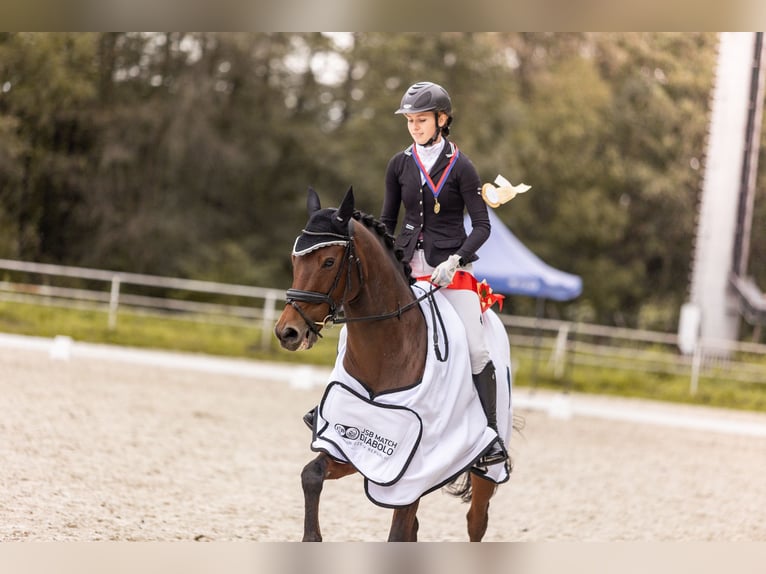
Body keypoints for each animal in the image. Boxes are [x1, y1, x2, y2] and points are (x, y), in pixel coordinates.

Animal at [272, 187, 512, 544]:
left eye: (329, 261)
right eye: (294, 260)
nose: (287, 332)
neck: (385, 353)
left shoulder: (412, 472)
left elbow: (398, 532)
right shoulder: (352, 446)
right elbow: (310, 475)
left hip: (485, 470)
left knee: (476, 521)